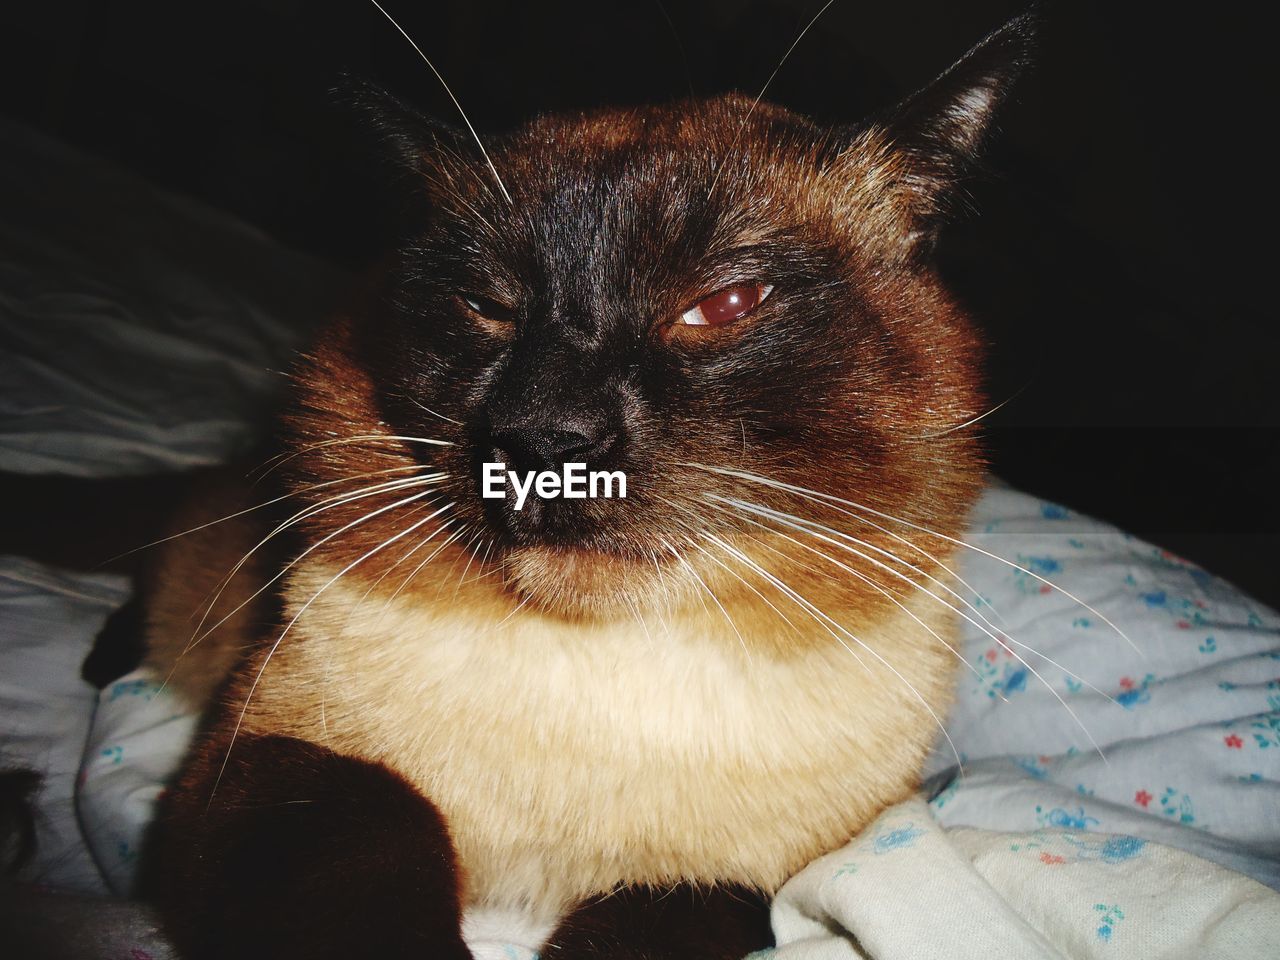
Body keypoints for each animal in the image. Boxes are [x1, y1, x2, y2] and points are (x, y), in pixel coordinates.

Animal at [145, 9, 1034, 960]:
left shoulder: (725, 878)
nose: (544, 437)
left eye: (726, 305)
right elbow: (378, 828)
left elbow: (649, 922)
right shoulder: (281, 757)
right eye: (487, 305)